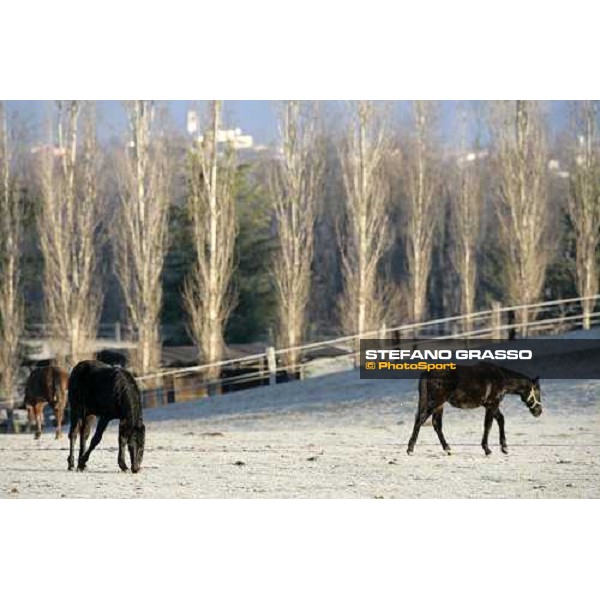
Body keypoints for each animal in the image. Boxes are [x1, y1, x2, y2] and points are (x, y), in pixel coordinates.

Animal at [406, 364, 540, 458]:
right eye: (537, 391)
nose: (539, 412)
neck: (501, 378)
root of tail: (427, 371)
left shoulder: (490, 405)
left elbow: (501, 420)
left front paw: (504, 448)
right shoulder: (492, 405)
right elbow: (488, 425)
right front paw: (487, 450)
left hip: (439, 405)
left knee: (436, 424)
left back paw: (447, 449)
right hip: (435, 402)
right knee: (421, 420)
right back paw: (410, 449)